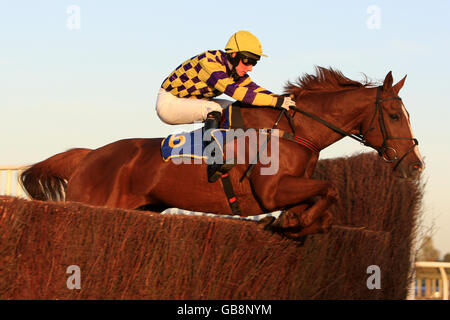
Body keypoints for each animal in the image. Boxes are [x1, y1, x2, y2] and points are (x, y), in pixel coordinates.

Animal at [19, 67, 424, 238]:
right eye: (393, 115)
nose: (415, 165)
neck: (294, 132)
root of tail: (88, 156)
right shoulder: (272, 191)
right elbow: (332, 190)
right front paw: (290, 222)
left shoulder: (292, 190)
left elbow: (323, 209)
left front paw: (291, 222)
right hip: (93, 204)